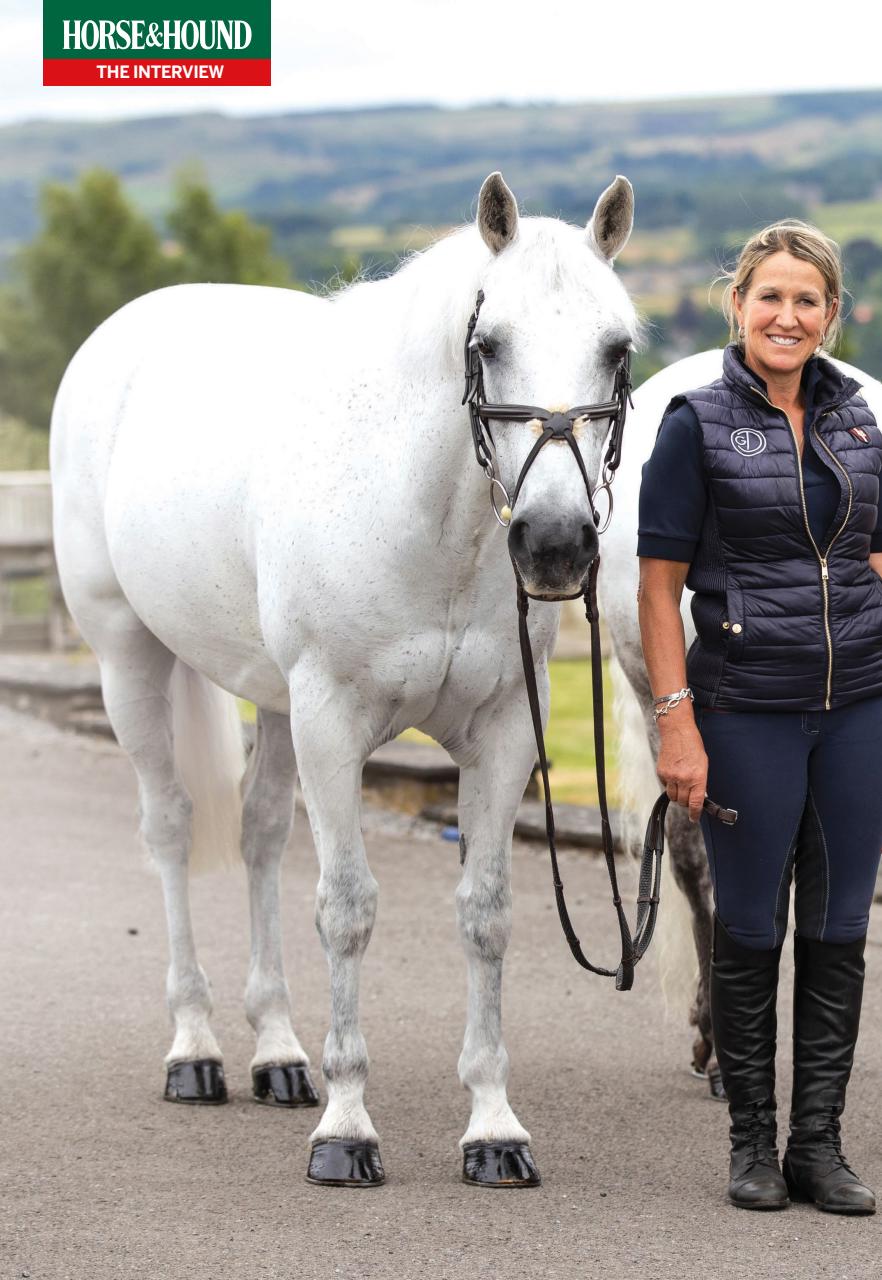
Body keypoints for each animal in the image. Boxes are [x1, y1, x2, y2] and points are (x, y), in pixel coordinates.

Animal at [50, 170, 640, 1188]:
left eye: (616, 347)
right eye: (489, 343)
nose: (556, 543)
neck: (425, 518)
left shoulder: (501, 734)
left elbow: (486, 915)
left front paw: (493, 1130)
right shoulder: (332, 722)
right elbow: (348, 910)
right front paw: (348, 1129)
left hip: (276, 705)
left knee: (259, 835)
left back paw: (279, 1055)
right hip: (130, 660)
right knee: (170, 831)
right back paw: (196, 1049)